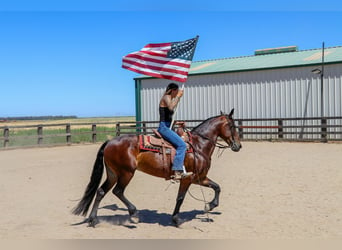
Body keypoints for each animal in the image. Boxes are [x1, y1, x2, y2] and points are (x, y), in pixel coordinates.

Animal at [72, 108, 242, 228]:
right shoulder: (187, 179)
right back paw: (133, 213)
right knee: (118, 191)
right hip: (126, 173)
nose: (238, 146)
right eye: (232, 125)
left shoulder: (199, 178)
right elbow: (180, 198)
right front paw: (176, 219)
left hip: (113, 173)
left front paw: (209, 206)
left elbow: (217, 187)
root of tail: (110, 142)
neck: (198, 146)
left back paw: (93, 220)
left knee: (101, 191)